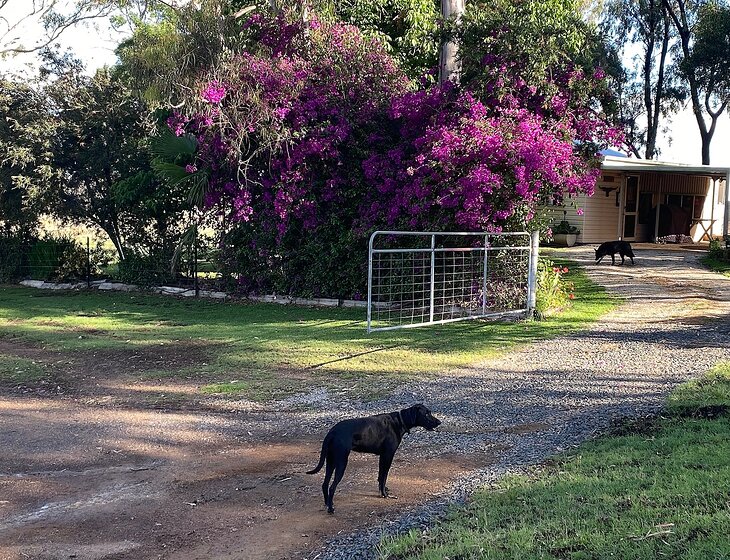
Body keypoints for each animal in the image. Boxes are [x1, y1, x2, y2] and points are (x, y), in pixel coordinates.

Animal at [307, 404, 441, 514]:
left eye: (429, 412)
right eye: (426, 414)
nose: (439, 422)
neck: (399, 421)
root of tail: (332, 432)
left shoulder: (382, 457)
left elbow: (380, 476)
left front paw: (383, 491)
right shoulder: (388, 455)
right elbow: (384, 476)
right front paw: (385, 494)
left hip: (331, 461)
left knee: (325, 484)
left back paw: (327, 503)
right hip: (341, 462)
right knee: (332, 486)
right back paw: (331, 508)